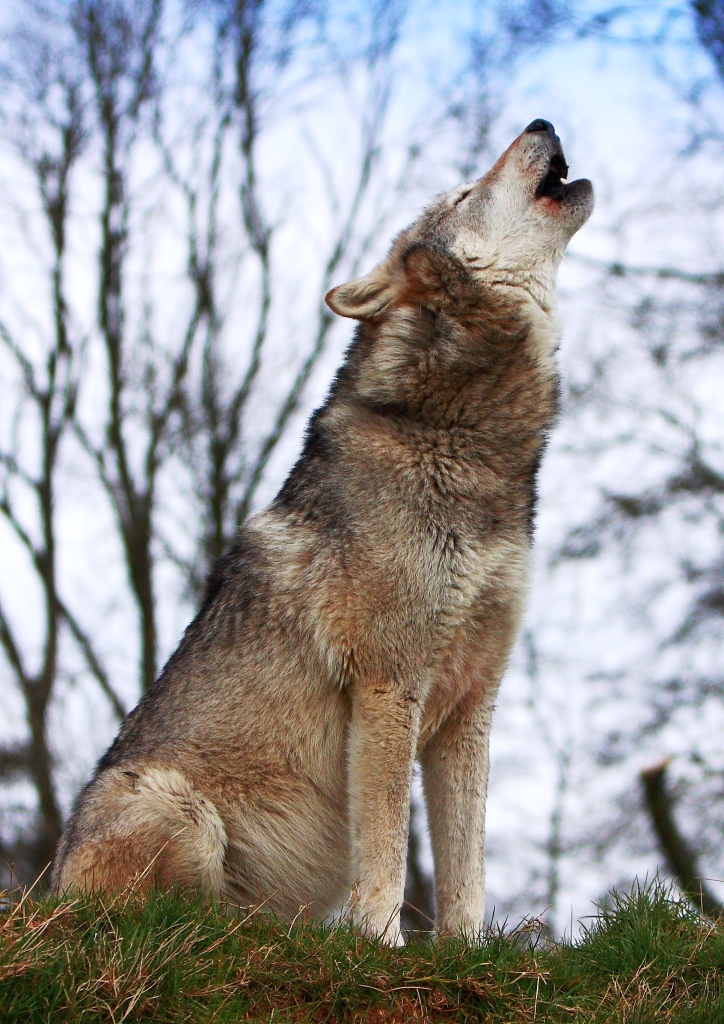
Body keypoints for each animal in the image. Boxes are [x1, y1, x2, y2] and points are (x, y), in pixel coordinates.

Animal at [52, 119, 593, 944]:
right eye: (465, 194)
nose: (541, 124)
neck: (453, 435)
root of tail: (45, 891)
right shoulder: (387, 683)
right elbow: (387, 847)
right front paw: (382, 944)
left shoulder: (471, 705)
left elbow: (465, 864)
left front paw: (467, 951)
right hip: (171, 803)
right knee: (165, 919)